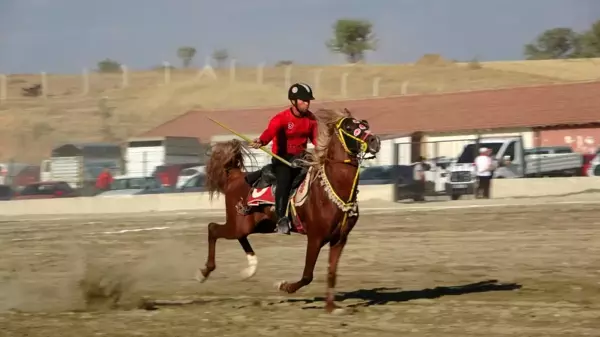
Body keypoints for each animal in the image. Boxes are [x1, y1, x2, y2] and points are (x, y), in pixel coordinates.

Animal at [199, 107, 382, 310]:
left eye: (364, 124)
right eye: (349, 127)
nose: (375, 141)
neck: (331, 190)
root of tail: (235, 176)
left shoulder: (340, 239)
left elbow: (331, 274)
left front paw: (331, 308)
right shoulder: (315, 237)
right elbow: (307, 275)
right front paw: (284, 286)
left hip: (259, 225)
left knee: (238, 235)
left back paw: (250, 268)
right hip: (239, 223)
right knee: (213, 228)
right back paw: (205, 272)